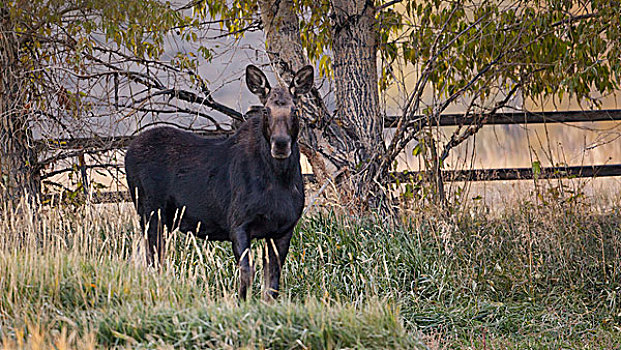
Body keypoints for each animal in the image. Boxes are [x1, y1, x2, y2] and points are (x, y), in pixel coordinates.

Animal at [124, 64, 314, 300]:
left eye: (295, 110)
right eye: (266, 110)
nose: (280, 144)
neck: (279, 181)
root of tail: (128, 151)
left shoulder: (283, 230)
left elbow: (272, 285)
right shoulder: (238, 223)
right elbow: (246, 272)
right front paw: (241, 302)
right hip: (150, 212)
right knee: (153, 260)